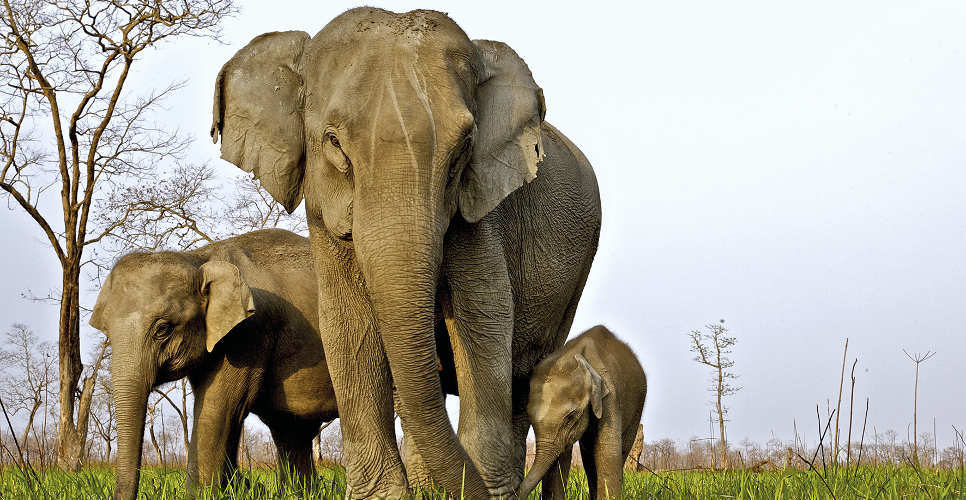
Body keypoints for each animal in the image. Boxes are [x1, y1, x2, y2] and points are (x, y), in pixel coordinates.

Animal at [89, 229, 338, 500]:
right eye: (106, 332)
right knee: (291, 431)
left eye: (163, 329)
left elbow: (216, 409)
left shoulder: (249, 332)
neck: (198, 259)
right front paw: (237, 487)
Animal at [210, 7, 602, 499]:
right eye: (334, 142)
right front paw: (384, 496)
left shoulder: (481, 209)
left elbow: (484, 316)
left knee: (523, 373)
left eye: (463, 149)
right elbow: (346, 322)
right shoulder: (324, 214)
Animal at [517, 326, 647, 500]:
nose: (516, 492)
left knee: (617, 452)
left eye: (571, 417)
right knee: (589, 457)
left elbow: (608, 452)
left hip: (637, 408)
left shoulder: (611, 398)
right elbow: (560, 459)